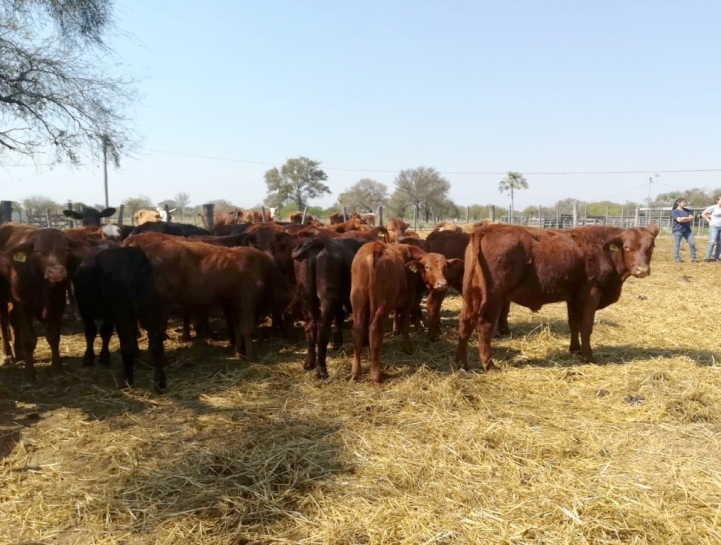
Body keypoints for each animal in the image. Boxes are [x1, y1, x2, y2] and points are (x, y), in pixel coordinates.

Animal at [0, 223, 93, 384]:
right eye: (38, 251)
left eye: (66, 249)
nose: (55, 272)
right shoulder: (23, 307)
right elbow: (29, 340)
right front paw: (29, 376)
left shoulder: (58, 306)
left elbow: (53, 337)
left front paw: (57, 370)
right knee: (3, 323)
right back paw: (7, 355)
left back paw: (19, 353)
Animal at [74, 246, 167, 392]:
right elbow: (105, 333)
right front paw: (104, 357)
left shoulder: (88, 313)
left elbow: (91, 333)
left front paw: (89, 358)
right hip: (151, 313)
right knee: (156, 344)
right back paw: (160, 383)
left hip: (124, 316)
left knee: (127, 344)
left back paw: (126, 380)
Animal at [350, 242, 456, 382]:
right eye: (427, 267)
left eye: (445, 267)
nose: (442, 284)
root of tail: (374, 247)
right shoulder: (408, 303)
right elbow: (405, 324)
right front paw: (407, 347)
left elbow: (398, 316)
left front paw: (396, 330)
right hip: (382, 306)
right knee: (375, 331)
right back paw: (375, 375)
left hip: (358, 302)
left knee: (358, 330)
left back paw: (356, 373)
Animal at [458, 223, 656, 372]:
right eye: (627, 247)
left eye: (651, 247)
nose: (642, 270)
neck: (603, 251)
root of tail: (486, 229)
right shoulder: (591, 296)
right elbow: (586, 327)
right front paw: (588, 356)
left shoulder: (573, 298)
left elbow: (573, 324)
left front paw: (574, 349)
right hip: (493, 297)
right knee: (484, 326)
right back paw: (489, 365)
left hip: (473, 296)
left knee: (465, 323)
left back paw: (462, 363)